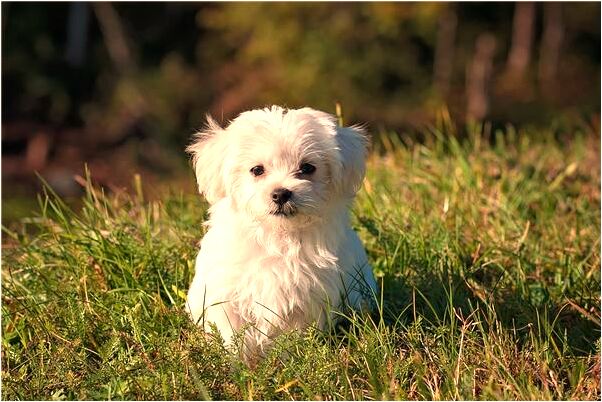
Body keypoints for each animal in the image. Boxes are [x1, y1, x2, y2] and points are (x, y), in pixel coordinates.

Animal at [185, 107, 376, 358]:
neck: (277, 236)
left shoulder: (307, 298)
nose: (281, 193)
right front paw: (237, 363)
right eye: (257, 170)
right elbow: (232, 334)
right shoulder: (225, 293)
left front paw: (288, 359)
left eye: (307, 168)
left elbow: (293, 336)